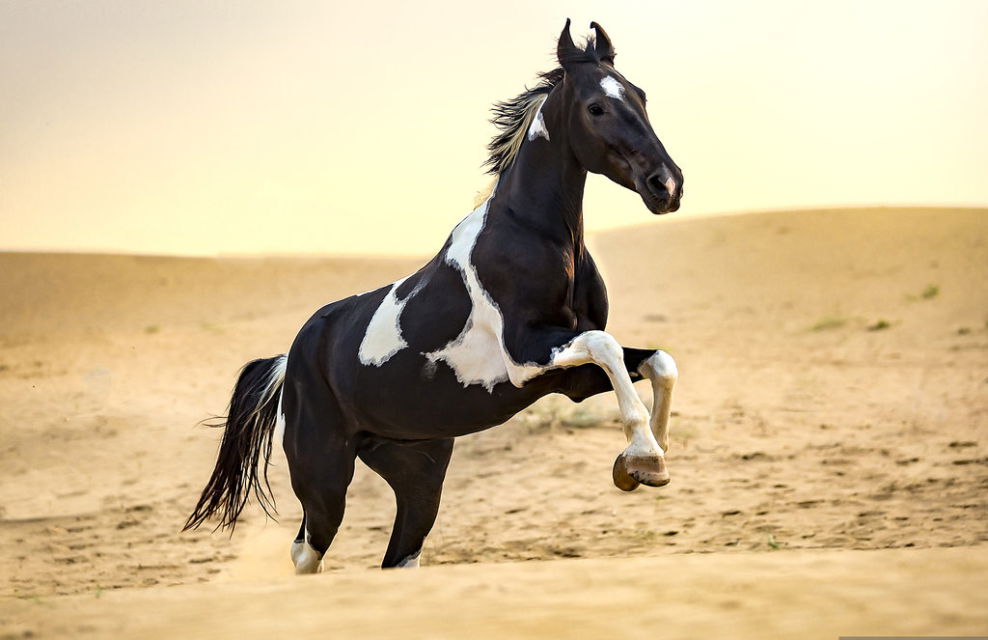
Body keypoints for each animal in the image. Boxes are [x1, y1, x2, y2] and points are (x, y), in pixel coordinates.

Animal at [184, 20, 684, 573]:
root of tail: (286, 362)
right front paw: (645, 458)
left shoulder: (567, 377)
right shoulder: (527, 357)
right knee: (306, 549)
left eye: (640, 96)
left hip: (417, 469)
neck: (532, 234)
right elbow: (608, 346)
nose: (667, 186)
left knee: (397, 557)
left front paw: (645, 455)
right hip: (323, 475)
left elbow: (658, 362)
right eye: (597, 107)